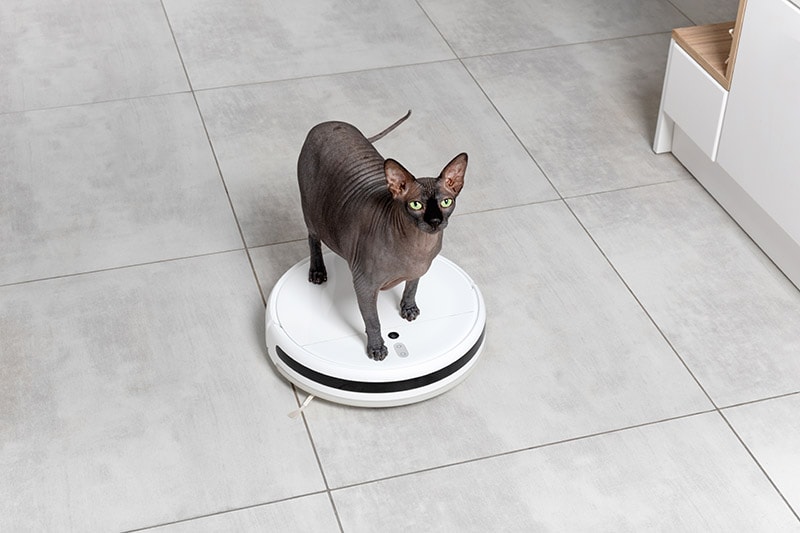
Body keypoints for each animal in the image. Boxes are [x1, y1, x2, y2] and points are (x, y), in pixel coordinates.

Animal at [296, 112, 466, 362]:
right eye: (416, 205)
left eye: (446, 202)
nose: (435, 221)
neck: (418, 248)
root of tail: (327, 123)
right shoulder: (364, 285)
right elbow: (373, 321)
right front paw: (376, 347)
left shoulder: (419, 269)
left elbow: (412, 286)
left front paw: (408, 308)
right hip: (312, 211)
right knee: (312, 237)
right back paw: (317, 271)